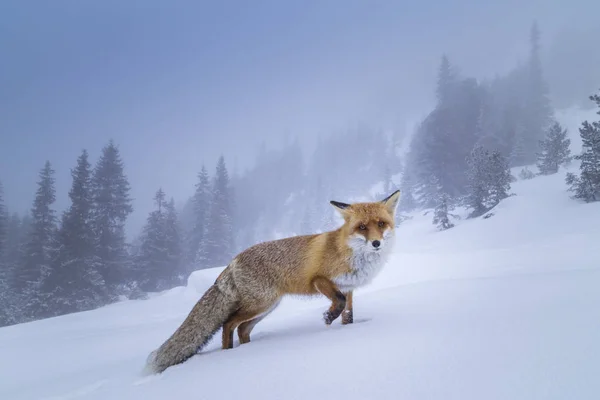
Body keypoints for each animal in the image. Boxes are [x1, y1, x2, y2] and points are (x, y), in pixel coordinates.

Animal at [143, 189, 400, 374]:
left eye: (381, 224)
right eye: (362, 227)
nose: (376, 243)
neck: (351, 254)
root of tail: (233, 260)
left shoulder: (349, 289)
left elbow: (348, 316)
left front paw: (345, 330)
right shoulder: (320, 280)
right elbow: (336, 302)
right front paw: (328, 317)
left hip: (265, 308)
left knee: (242, 329)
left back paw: (248, 349)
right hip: (261, 304)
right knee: (228, 323)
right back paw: (228, 354)